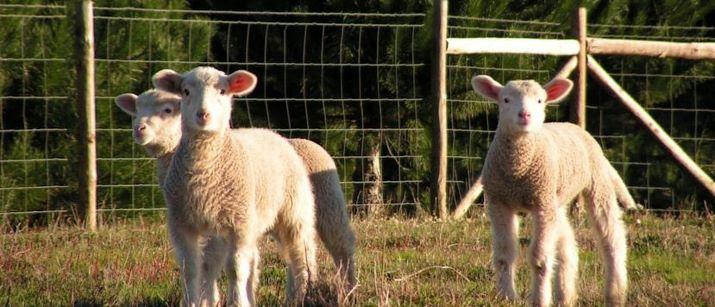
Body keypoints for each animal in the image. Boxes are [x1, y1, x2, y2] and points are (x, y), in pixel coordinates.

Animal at [114, 91, 358, 298]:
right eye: (136, 109)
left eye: (167, 110)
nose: (138, 129)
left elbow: (210, 264)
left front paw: (209, 299)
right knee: (294, 252)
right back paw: (294, 295)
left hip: (322, 201)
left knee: (337, 245)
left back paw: (345, 290)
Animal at [152, 66, 318, 306]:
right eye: (185, 91)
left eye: (222, 91)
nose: (203, 114)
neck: (205, 174)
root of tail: (268, 131)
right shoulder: (181, 223)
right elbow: (190, 270)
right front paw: (192, 302)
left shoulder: (238, 224)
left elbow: (235, 269)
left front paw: (238, 302)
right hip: (242, 222)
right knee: (252, 260)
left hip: (293, 211)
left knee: (302, 255)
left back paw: (306, 294)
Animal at [472, 75, 628, 307]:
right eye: (506, 99)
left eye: (540, 101)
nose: (525, 114)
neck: (518, 170)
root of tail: (572, 125)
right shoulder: (499, 202)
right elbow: (504, 254)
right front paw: (506, 297)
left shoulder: (541, 204)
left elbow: (539, 259)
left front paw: (539, 299)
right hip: (555, 198)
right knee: (567, 245)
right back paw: (566, 295)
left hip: (596, 183)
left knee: (612, 237)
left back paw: (615, 293)